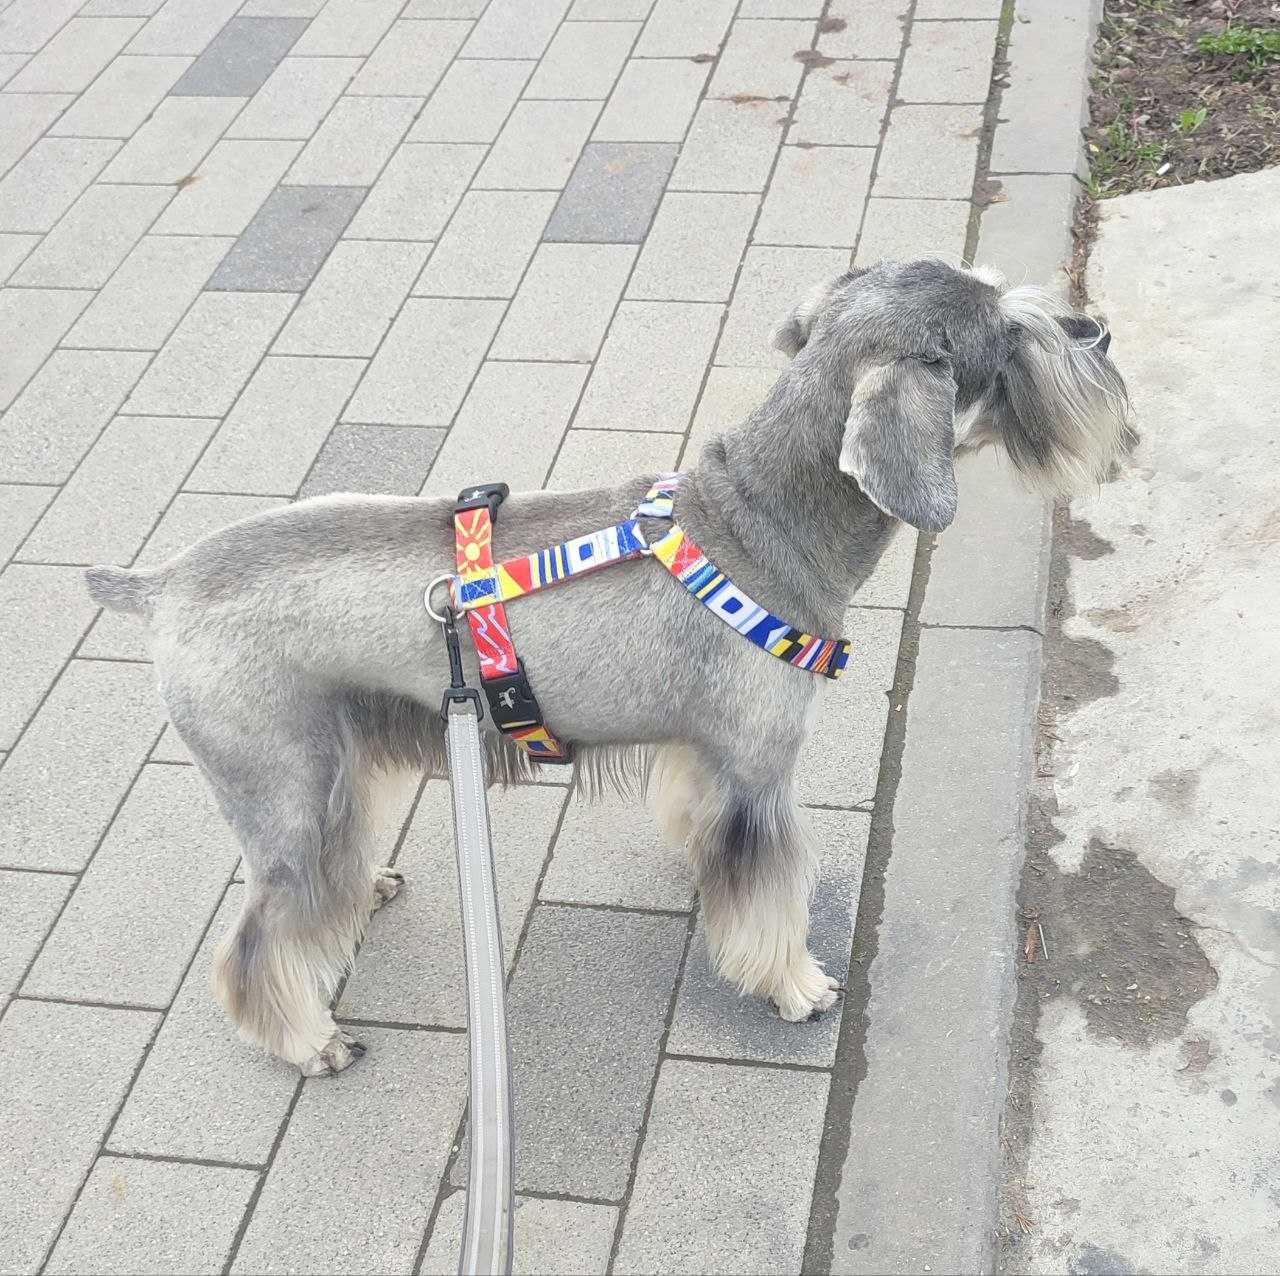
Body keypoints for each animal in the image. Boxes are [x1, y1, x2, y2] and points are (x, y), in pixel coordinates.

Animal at [85, 260, 1128, 1076]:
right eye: (1007, 335)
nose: (1098, 329)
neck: (767, 520)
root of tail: (161, 585)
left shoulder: (707, 755)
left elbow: (703, 829)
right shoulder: (761, 777)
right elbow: (770, 899)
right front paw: (795, 985)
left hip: (334, 763)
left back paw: (365, 885)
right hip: (285, 788)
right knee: (258, 941)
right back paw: (311, 1043)